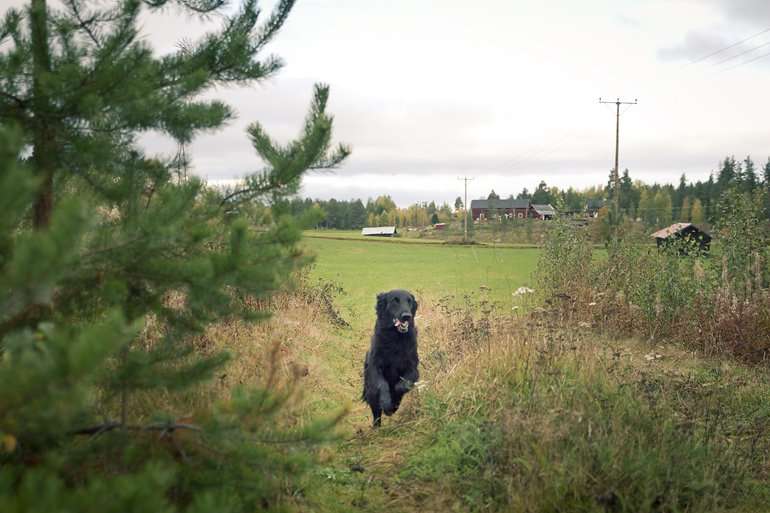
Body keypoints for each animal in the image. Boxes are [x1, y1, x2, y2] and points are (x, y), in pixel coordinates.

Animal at [362, 290, 416, 426]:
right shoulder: (375, 368)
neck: (395, 338)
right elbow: (383, 384)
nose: (407, 316)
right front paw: (386, 403)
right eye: (394, 300)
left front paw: (393, 402)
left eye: (409, 301)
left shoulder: (413, 369)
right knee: (376, 412)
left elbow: (401, 386)